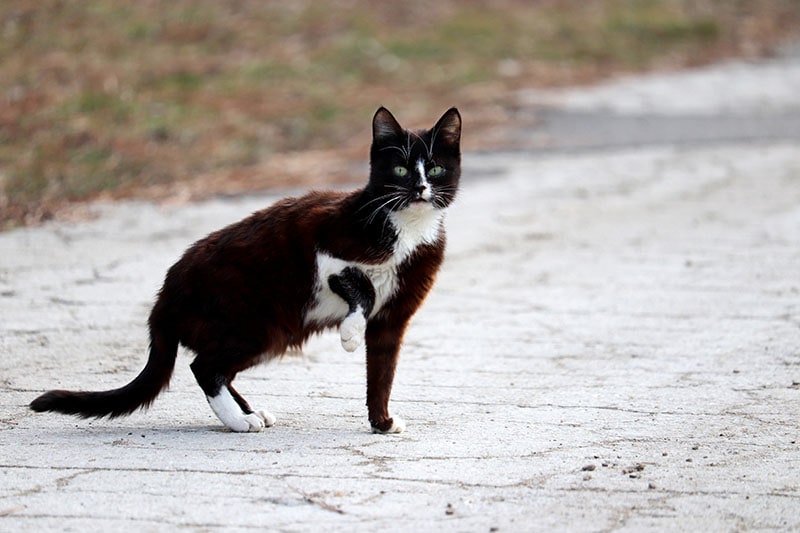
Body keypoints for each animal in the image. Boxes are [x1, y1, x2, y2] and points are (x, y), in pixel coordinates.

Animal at [29, 107, 462, 432]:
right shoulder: (323, 243)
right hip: (258, 322)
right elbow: (360, 285)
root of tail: (164, 297)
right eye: (401, 171)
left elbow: (382, 373)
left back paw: (247, 413)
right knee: (204, 366)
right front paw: (350, 334)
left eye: (435, 169)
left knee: (216, 368)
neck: (407, 229)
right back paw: (238, 422)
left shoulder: (393, 319)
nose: (420, 189)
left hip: (263, 332)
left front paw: (381, 422)